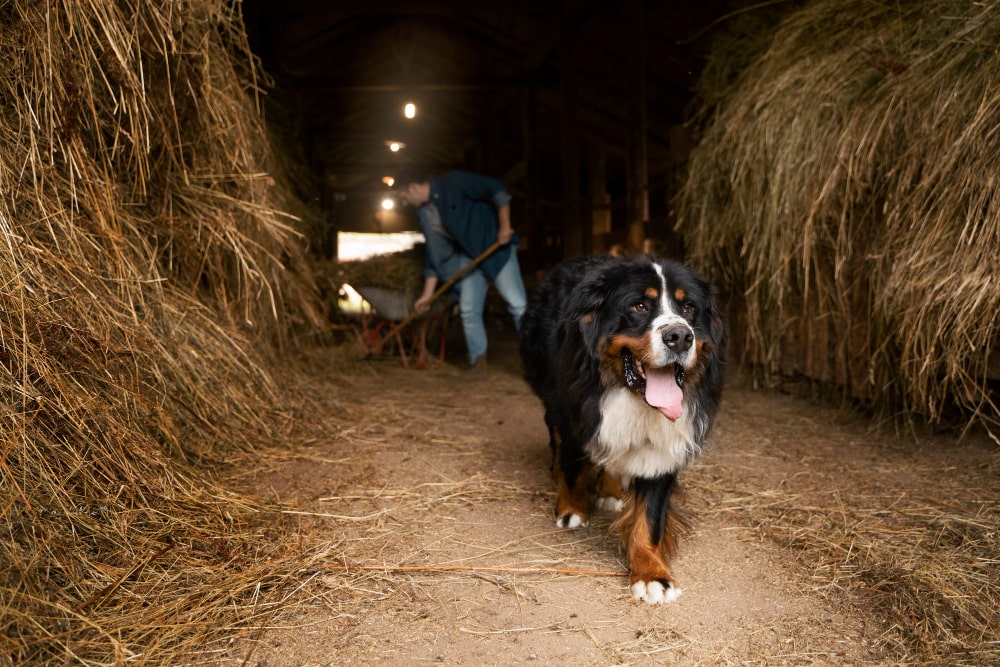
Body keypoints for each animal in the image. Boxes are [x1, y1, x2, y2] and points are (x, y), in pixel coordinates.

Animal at [520, 254, 724, 604]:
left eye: (689, 308)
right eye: (639, 306)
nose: (680, 337)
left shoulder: (666, 444)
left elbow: (650, 518)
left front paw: (652, 573)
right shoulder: (574, 409)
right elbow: (573, 464)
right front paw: (572, 509)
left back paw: (611, 490)